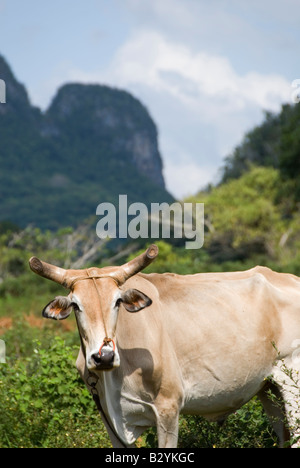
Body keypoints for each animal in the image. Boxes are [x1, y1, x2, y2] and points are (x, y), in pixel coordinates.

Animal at [29, 243, 300, 448]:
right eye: (76, 305)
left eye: (117, 302)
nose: (103, 356)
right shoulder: (108, 418)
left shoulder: (168, 409)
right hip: (268, 388)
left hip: (293, 382)